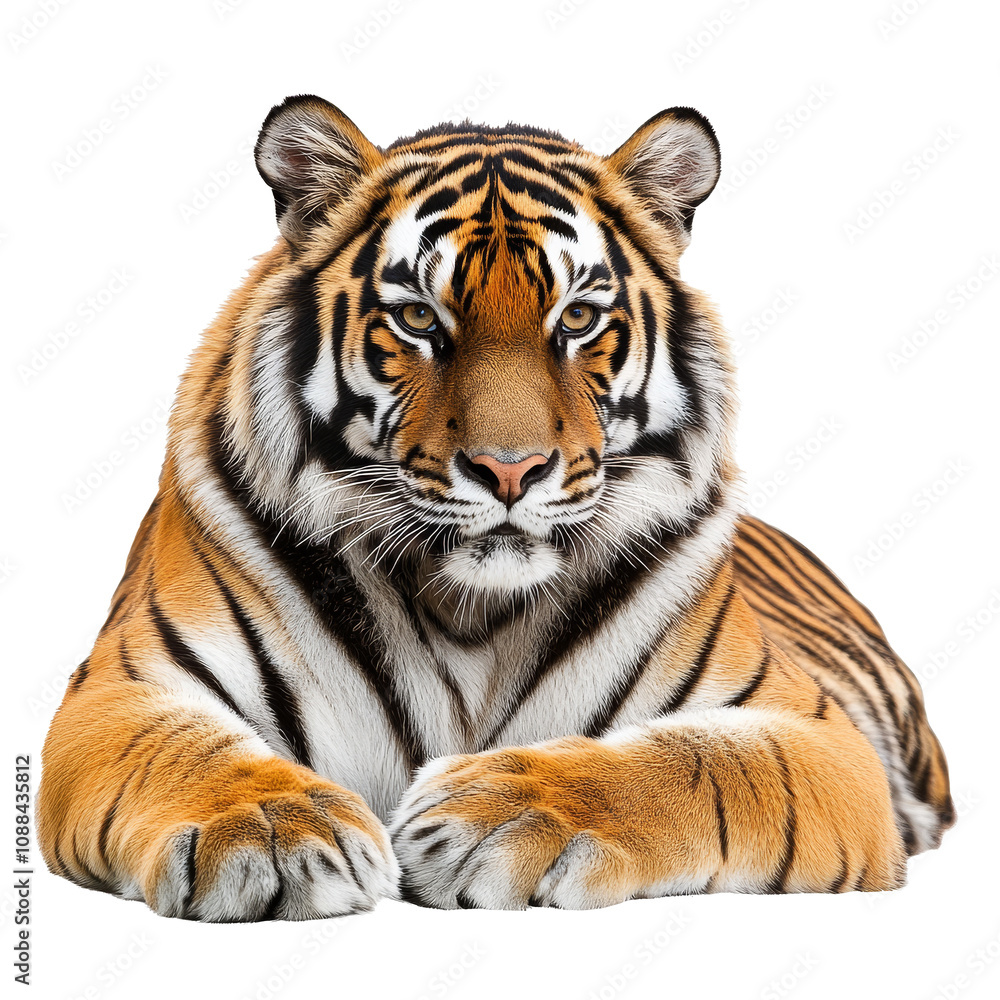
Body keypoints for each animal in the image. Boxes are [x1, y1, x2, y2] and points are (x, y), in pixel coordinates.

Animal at [37, 95, 953, 920]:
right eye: (418, 318)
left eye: (577, 318)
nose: (509, 471)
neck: (471, 611)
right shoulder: (122, 690)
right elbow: (183, 750)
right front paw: (269, 827)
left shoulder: (811, 729)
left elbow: (692, 764)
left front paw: (497, 815)